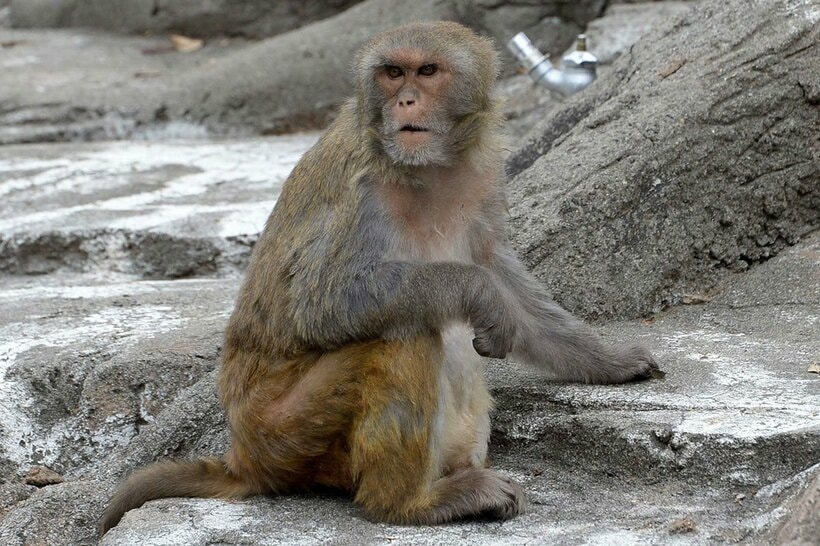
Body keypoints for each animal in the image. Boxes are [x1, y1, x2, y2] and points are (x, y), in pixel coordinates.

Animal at [100, 21, 658, 533]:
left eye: (427, 72)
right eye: (392, 73)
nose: (407, 100)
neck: (429, 169)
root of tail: (244, 455)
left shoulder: (483, 181)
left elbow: (499, 268)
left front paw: (607, 361)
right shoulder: (363, 192)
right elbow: (321, 302)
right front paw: (479, 294)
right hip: (280, 430)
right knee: (404, 333)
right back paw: (410, 503)